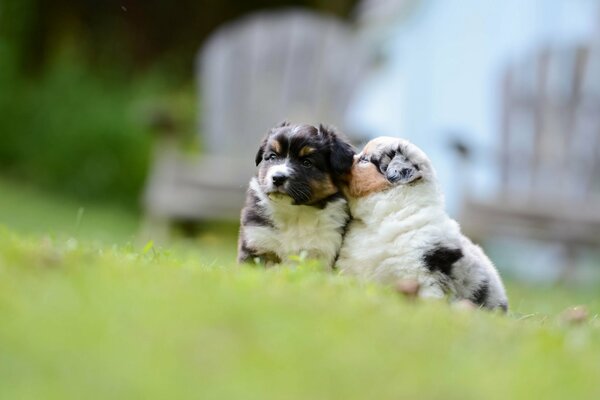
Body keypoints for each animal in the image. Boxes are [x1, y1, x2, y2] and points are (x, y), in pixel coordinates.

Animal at [237, 120, 354, 268]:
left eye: (306, 162)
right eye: (272, 156)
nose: (278, 178)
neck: (294, 213)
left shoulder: (324, 250)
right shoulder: (256, 240)